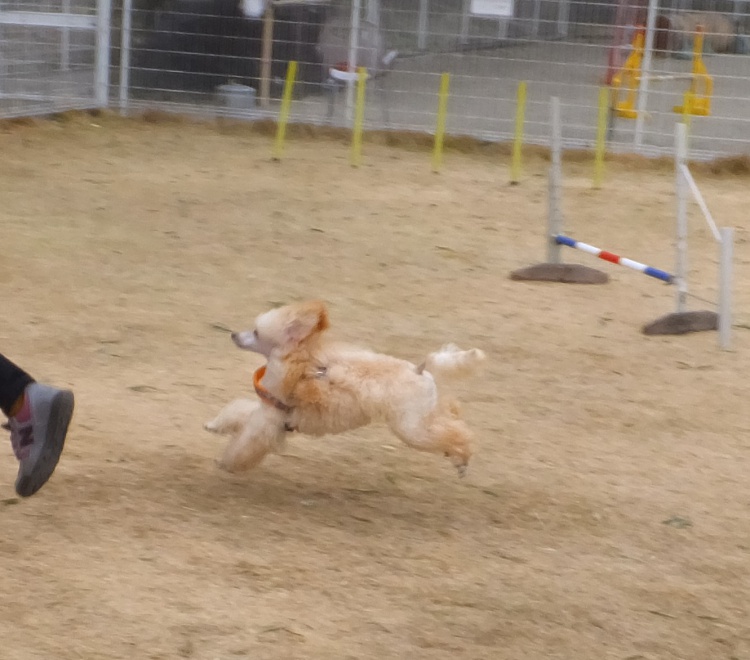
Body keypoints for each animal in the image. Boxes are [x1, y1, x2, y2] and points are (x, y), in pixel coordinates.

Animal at [205, 300, 485, 476]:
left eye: (255, 332)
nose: (233, 335)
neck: (298, 361)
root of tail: (419, 369)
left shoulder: (270, 419)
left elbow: (247, 441)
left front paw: (226, 463)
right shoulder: (265, 410)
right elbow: (239, 411)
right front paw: (214, 425)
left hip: (411, 428)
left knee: (455, 433)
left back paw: (462, 460)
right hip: (422, 416)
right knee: (451, 417)